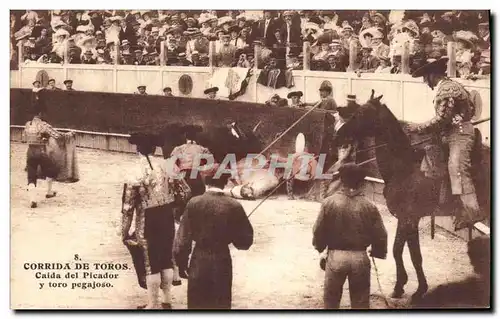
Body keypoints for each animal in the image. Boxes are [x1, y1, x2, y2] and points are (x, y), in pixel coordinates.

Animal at [334, 90, 490, 302]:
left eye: (362, 113)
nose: (338, 135)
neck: (404, 166)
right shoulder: (407, 219)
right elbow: (403, 251)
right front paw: (402, 286)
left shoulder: (408, 218)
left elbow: (408, 253)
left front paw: (416, 289)